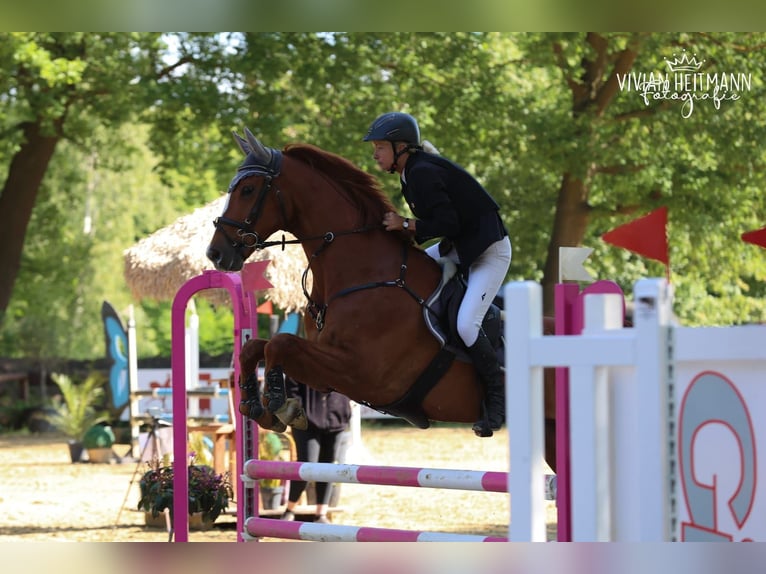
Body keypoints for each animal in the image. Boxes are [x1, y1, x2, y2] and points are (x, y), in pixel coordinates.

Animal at [210, 130, 560, 472]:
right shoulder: (327, 377)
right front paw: (255, 403)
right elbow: (256, 347)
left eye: (248, 190)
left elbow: (279, 344)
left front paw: (278, 403)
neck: (361, 273)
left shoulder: (360, 373)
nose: (215, 254)